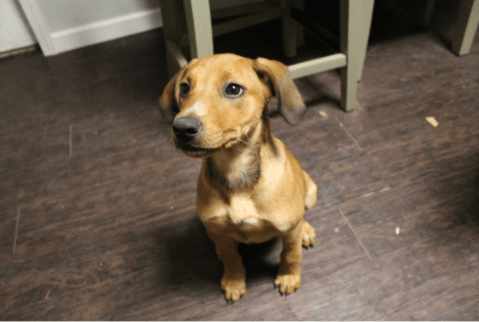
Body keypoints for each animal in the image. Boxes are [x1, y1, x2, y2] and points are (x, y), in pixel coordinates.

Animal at [161, 52, 316, 302]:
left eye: (233, 89)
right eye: (184, 87)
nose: (182, 128)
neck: (234, 169)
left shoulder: (289, 229)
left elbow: (290, 254)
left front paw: (289, 278)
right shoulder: (216, 228)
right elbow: (230, 256)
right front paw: (234, 281)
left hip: (311, 191)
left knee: (304, 213)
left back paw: (307, 230)